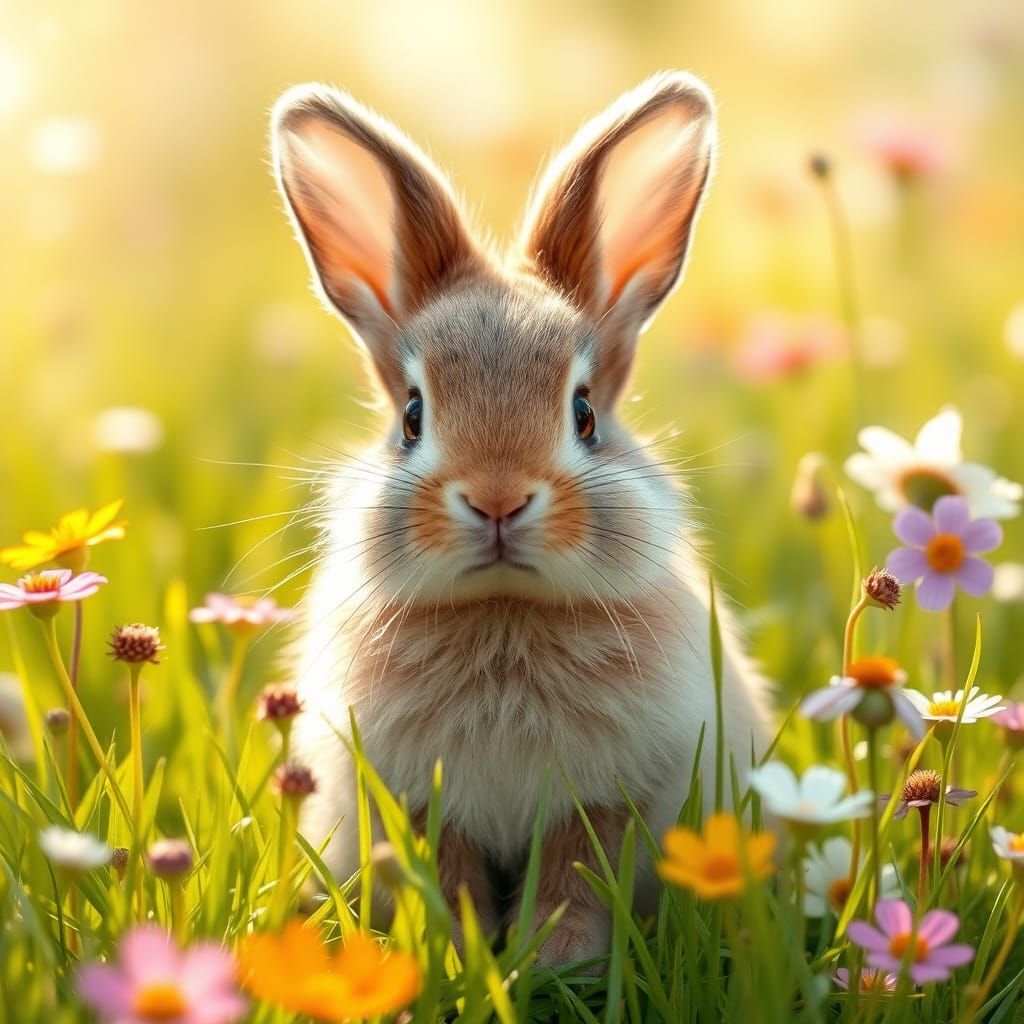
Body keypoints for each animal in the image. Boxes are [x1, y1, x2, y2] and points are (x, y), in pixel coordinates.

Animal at [272, 70, 774, 966]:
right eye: (412, 416)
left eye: (584, 413)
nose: (498, 498)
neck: (505, 610)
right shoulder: (425, 804)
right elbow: (452, 877)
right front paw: (462, 953)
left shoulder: (602, 802)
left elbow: (574, 877)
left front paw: (554, 958)